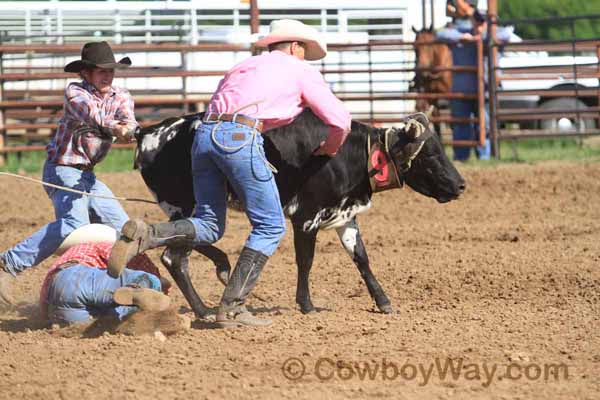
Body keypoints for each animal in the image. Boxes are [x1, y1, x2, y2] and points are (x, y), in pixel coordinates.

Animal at [135, 109, 464, 316]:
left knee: (180, 244)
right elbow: (306, 261)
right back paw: (206, 302)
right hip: (186, 205)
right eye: (430, 154)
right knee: (176, 255)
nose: (461, 185)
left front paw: (383, 301)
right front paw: (306, 305)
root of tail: (148, 132)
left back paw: (211, 286)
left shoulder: (346, 216)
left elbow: (361, 258)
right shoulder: (306, 218)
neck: (351, 154)